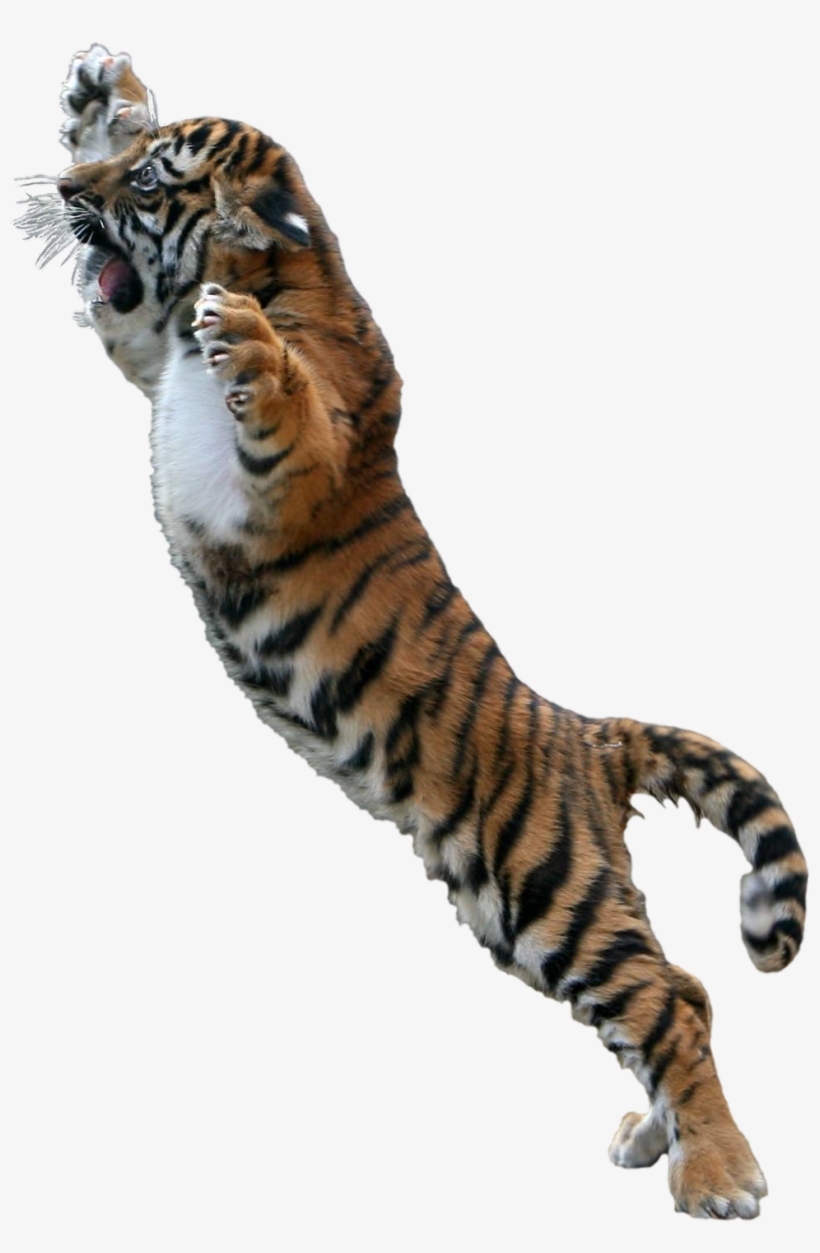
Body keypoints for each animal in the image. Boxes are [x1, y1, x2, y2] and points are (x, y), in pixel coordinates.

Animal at [16, 44, 807, 1220]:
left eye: (149, 183)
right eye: (126, 159)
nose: (70, 190)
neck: (270, 272)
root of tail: (588, 734)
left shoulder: (297, 464)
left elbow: (285, 398)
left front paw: (246, 338)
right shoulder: (142, 345)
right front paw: (93, 87)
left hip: (548, 887)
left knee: (663, 997)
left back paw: (720, 1175)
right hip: (508, 909)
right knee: (684, 988)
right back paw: (654, 1138)